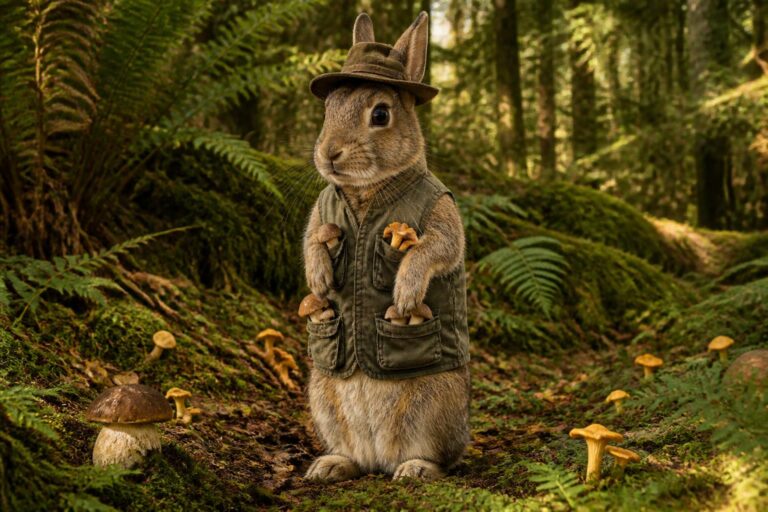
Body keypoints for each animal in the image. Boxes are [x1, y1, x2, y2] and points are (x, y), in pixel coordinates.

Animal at [302, 12, 470, 482]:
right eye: (328, 108)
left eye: (380, 114)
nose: (330, 154)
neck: (367, 191)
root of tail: (381, 456)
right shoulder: (320, 215)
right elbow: (311, 241)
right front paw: (319, 278)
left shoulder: (442, 217)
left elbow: (434, 250)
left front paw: (406, 293)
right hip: (322, 397)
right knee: (355, 455)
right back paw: (331, 465)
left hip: (436, 403)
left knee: (437, 456)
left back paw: (414, 469)